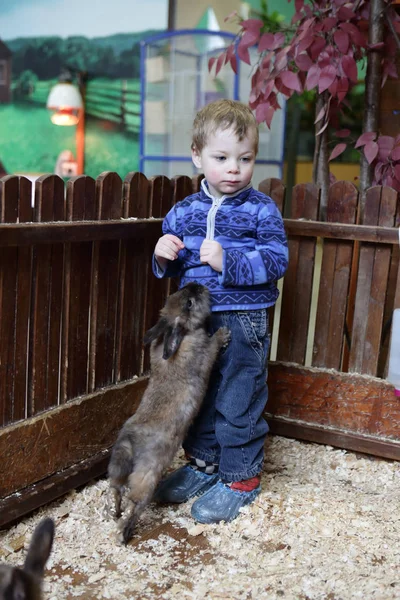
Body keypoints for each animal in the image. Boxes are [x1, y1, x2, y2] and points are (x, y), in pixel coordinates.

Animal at [108, 282, 230, 544]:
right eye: (189, 303)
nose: (198, 285)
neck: (185, 334)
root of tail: (131, 443)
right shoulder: (206, 353)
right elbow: (214, 345)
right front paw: (223, 334)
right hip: (148, 474)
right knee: (136, 502)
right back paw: (125, 532)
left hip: (118, 467)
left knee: (116, 488)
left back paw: (115, 512)